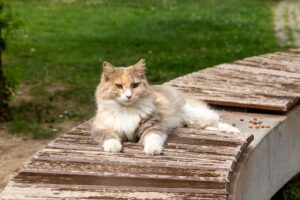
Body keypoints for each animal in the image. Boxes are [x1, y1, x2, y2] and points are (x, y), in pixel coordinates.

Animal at [91, 58, 239, 155]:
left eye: (135, 85)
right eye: (119, 86)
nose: (128, 96)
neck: (127, 110)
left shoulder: (153, 124)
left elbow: (153, 137)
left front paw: (153, 150)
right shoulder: (100, 127)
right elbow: (109, 136)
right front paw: (113, 147)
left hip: (196, 116)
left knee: (216, 120)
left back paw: (233, 131)